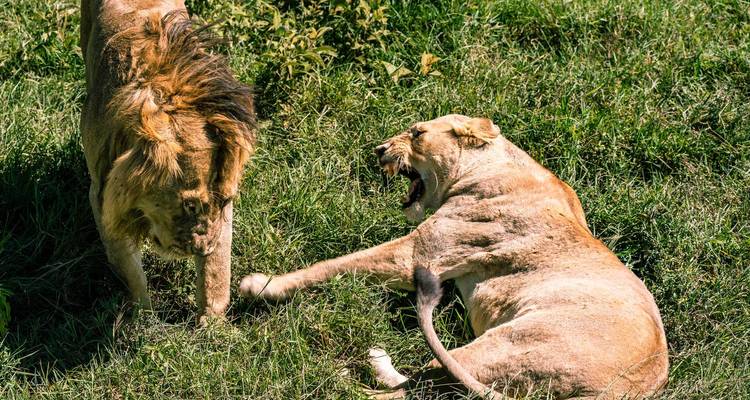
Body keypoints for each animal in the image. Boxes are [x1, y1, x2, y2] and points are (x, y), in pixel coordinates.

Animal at [80, 0, 255, 321]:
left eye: (225, 201)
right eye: (189, 204)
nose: (203, 248)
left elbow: (216, 273)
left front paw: (212, 323)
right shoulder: (102, 198)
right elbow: (131, 272)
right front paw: (144, 319)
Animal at [240, 115, 668, 399]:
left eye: (416, 133)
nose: (379, 149)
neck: (492, 163)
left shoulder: (419, 252)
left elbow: (336, 265)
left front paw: (261, 285)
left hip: (506, 346)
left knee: (407, 392)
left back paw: (343, 378)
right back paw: (376, 360)